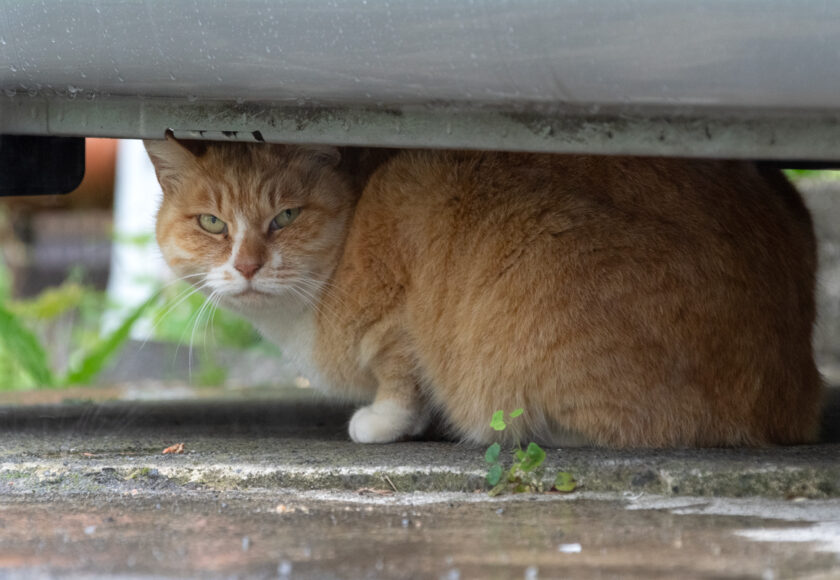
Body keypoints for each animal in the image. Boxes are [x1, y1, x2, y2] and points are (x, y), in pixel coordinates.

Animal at [144, 137, 820, 448]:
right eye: (212, 224)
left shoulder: (407, 224)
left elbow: (402, 376)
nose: (248, 265)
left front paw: (383, 422)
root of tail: (790, 394)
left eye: (286, 217)